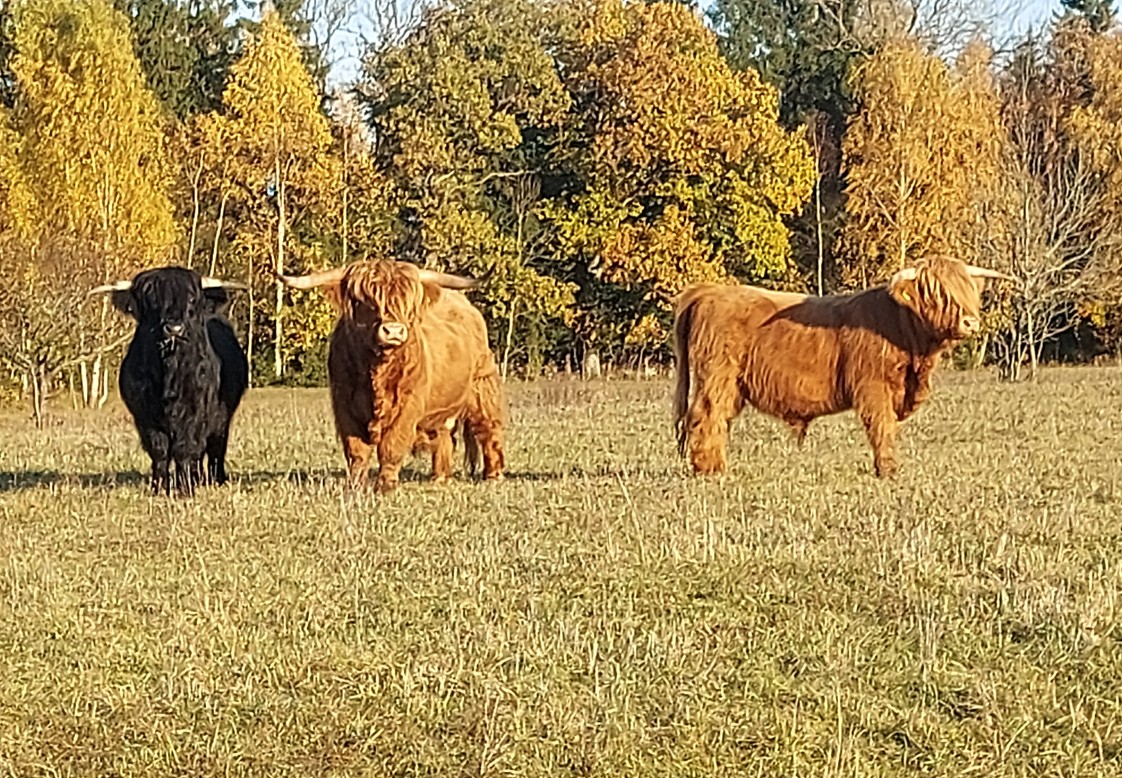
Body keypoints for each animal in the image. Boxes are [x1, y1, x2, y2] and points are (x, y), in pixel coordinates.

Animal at [91, 267, 250, 493]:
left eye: (192, 299)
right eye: (152, 299)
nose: (174, 329)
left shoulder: (196, 411)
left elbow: (186, 448)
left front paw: (185, 488)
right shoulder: (144, 415)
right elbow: (159, 450)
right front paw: (159, 487)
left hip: (222, 417)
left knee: (215, 449)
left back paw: (214, 479)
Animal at [278, 260, 507, 491]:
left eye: (407, 302)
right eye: (365, 302)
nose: (394, 331)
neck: (375, 370)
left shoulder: (408, 404)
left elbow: (392, 445)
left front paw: (386, 485)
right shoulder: (344, 404)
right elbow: (356, 450)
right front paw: (355, 485)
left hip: (482, 386)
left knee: (488, 429)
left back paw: (493, 476)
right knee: (444, 434)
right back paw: (440, 477)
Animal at [668, 254, 1014, 476]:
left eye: (968, 292)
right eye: (937, 293)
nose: (970, 322)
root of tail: (710, 291)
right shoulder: (873, 386)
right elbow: (882, 426)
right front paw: (888, 470)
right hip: (717, 377)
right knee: (706, 416)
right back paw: (708, 469)